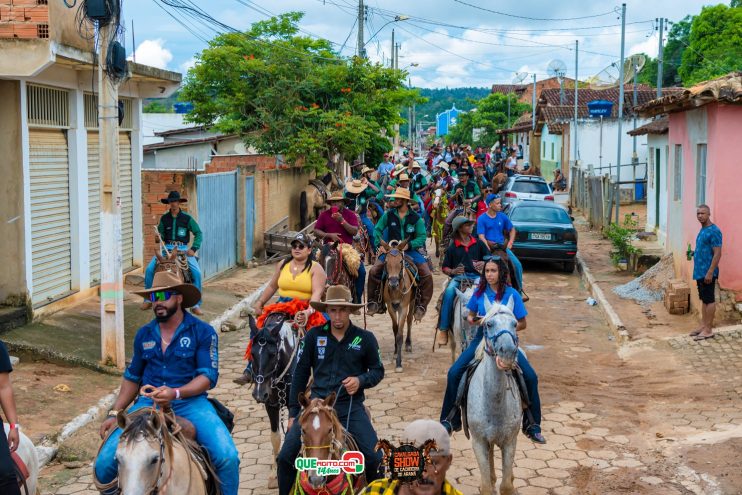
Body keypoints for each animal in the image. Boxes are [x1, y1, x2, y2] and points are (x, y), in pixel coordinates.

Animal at [380, 239, 416, 372]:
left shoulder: (403, 308)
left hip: (412, 302)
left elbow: (400, 334)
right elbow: (395, 329)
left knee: (409, 320)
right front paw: (395, 352)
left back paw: (409, 344)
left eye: (400, 261)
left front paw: (399, 364)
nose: (393, 282)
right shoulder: (391, 307)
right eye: (386, 261)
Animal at [470, 298, 524, 495]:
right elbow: (486, 486)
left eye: (515, 323)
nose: (507, 352)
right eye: (488, 324)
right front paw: (489, 482)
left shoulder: (510, 442)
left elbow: (506, 485)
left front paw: (509, 483)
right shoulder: (478, 442)